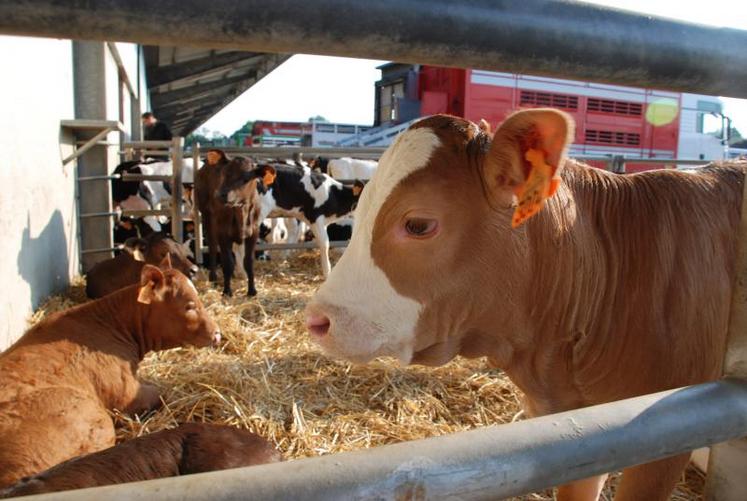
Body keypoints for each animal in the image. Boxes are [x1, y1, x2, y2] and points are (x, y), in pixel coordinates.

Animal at [194, 150, 276, 294]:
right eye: (223, 173)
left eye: (246, 179)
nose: (220, 194)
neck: (241, 211)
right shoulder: (222, 232)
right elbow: (228, 262)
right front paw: (227, 291)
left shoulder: (254, 232)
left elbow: (248, 262)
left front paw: (252, 291)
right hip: (206, 214)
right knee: (213, 246)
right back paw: (214, 278)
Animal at [231, 164, 366, 276]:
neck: (333, 194)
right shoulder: (315, 218)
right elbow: (325, 244)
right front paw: (327, 273)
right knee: (240, 244)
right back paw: (244, 274)